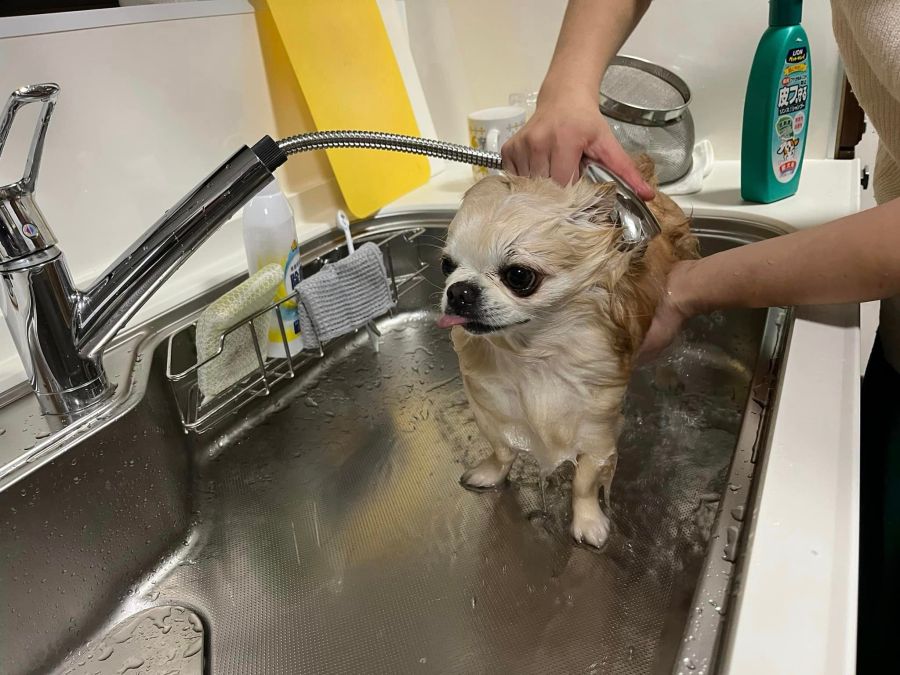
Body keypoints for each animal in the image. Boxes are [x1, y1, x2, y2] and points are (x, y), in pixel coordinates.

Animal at [436, 157, 697, 548]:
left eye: (518, 276)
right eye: (446, 266)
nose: (459, 291)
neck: (531, 353)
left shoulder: (595, 429)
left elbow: (584, 483)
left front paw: (589, 522)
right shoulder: (494, 410)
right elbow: (501, 450)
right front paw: (490, 474)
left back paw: (666, 377)